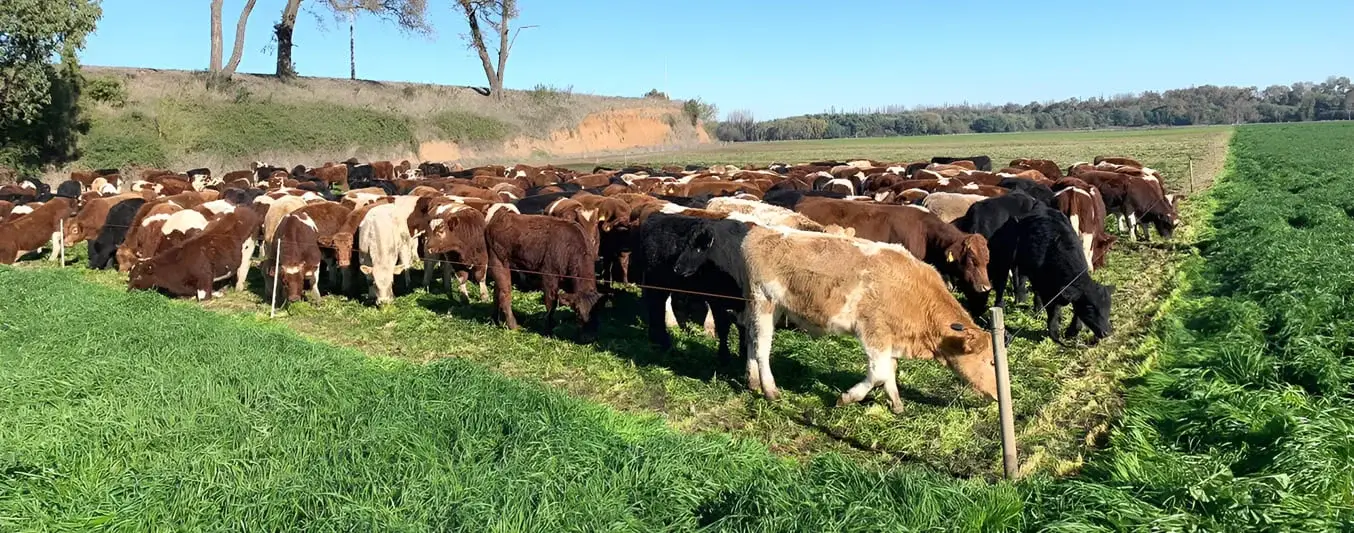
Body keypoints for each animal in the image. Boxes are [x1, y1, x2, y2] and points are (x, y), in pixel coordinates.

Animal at [482, 209, 598, 339]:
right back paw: (514, 326)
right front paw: (548, 331)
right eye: (578, 312)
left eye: (596, 311)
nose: (589, 336)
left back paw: (495, 320)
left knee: (496, 292)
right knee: (504, 294)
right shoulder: (549, 275)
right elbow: (551, 303)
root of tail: (500, 217)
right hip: (499, 261)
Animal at [666, 219, 996, 411]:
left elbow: (889, 371)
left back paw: (752, 381)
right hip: (764, 302)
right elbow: (878, 373)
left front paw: (897, 404)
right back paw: (770, 390)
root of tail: (762, 232)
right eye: (992, 361)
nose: (998, 392)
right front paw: (847, 397)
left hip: (764, 308)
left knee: (750, 340)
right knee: (761, 348)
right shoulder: (873, 333)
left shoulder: (889, 338)